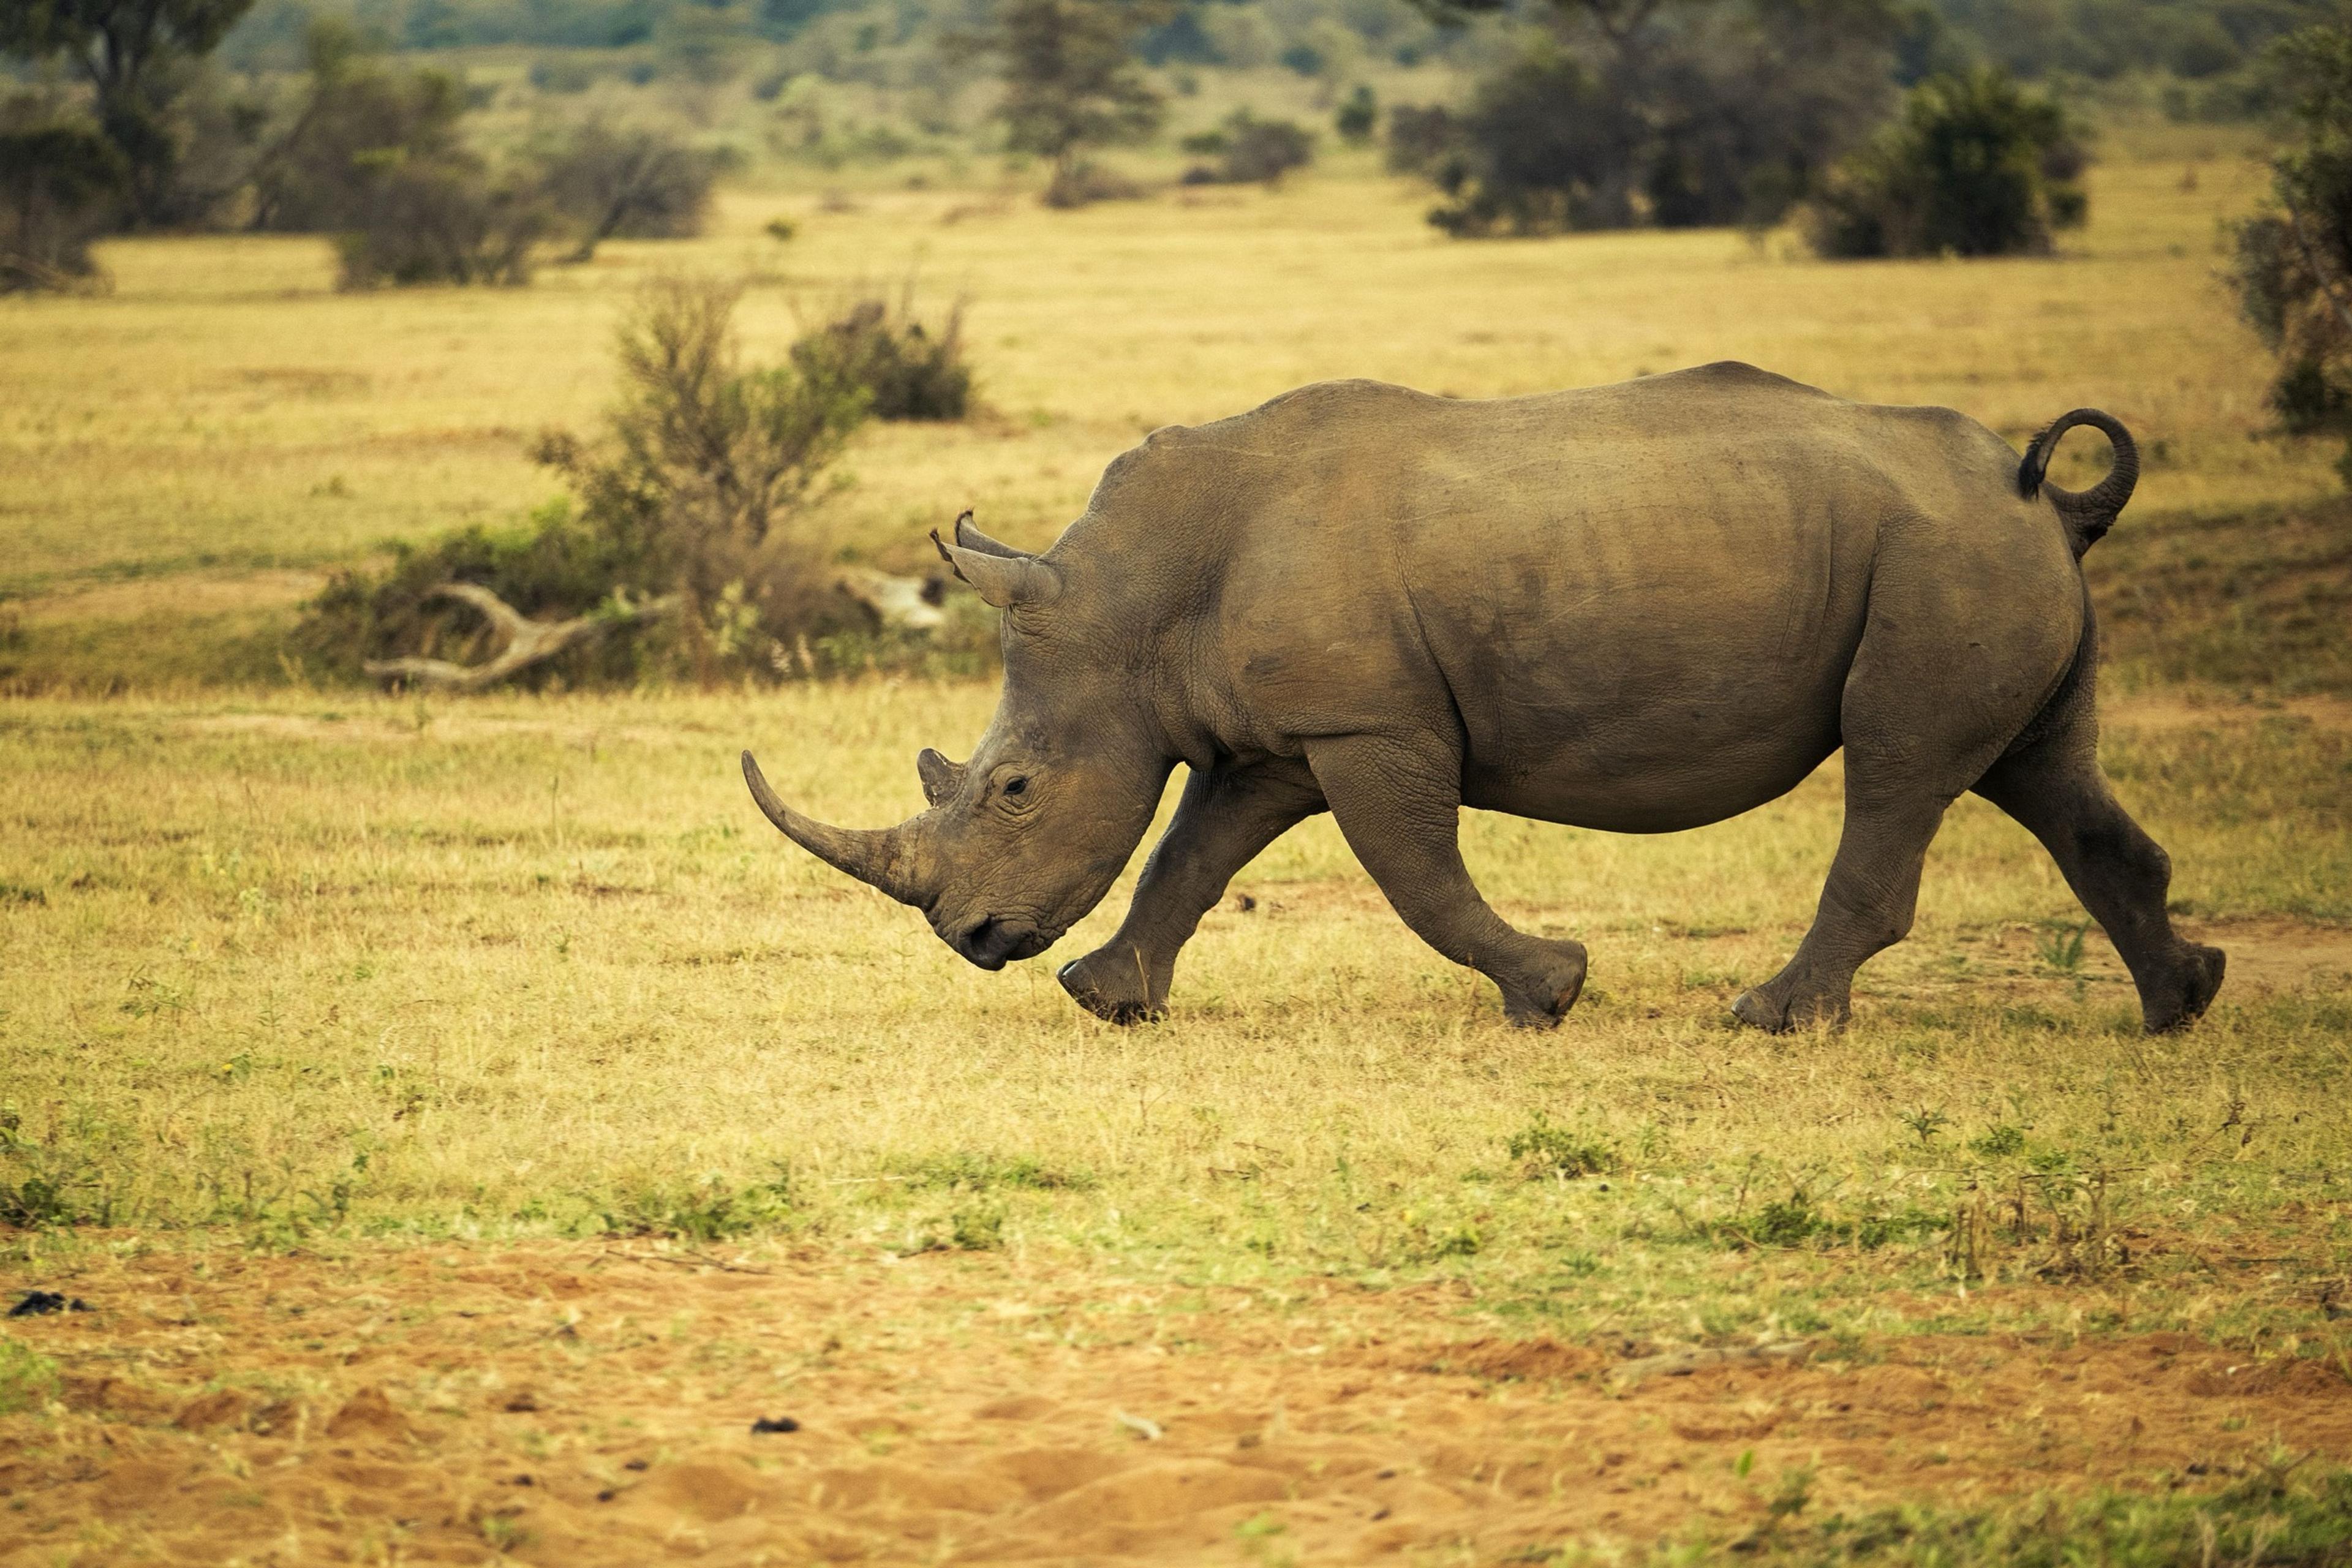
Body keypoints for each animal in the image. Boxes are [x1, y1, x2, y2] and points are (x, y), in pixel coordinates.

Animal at [743, 363, 2225, 1034]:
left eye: (1012, 788)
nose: (971, 939)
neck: (1132, 599)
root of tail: (2042, 495)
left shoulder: (1369, 723)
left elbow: (1413, 873)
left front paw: (1550, 991)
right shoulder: (1289, 734)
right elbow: (1193, 854)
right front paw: (1108, 999)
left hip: (1941, 563)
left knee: (1899, 765)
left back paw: (1768, 1019)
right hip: (1982, 563)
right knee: (2043, 772)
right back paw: (2181, 1003)